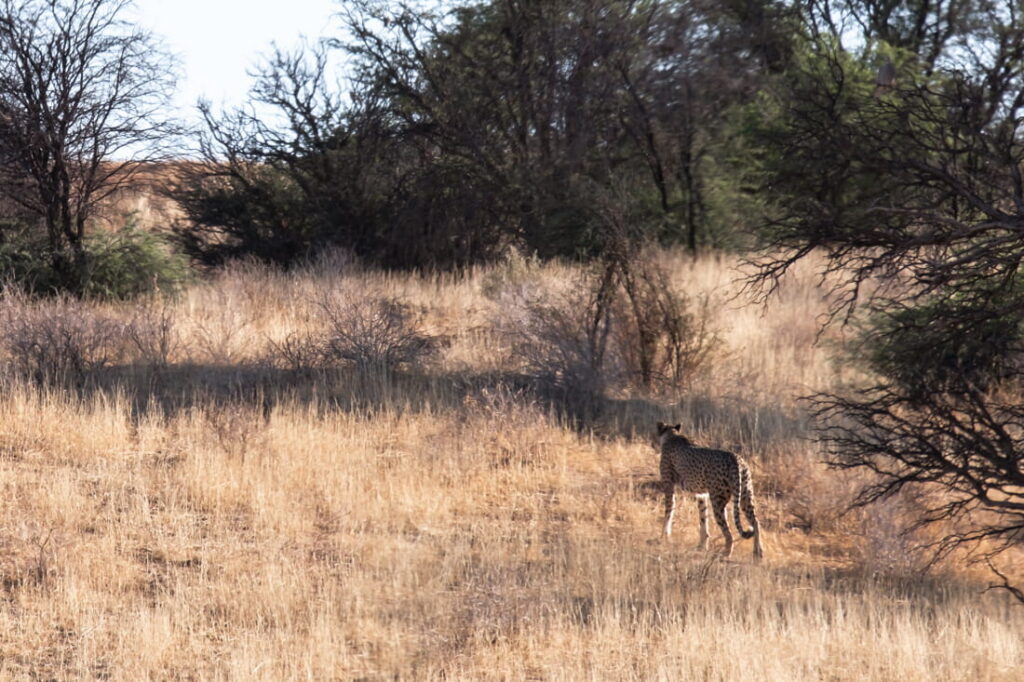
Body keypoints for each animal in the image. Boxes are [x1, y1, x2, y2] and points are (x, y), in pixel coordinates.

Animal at [655, 421, 764, 559]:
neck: (672, 435)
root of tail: (735, 457)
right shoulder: (702, 494)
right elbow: (703, 519)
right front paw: (702, 545)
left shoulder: (669, 485)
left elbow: (669, 511)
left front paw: (663, 537)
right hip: (745, 497)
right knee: (756, 523)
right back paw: (758, 554)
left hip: (718, 500)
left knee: (728, 532)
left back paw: (726, 554)